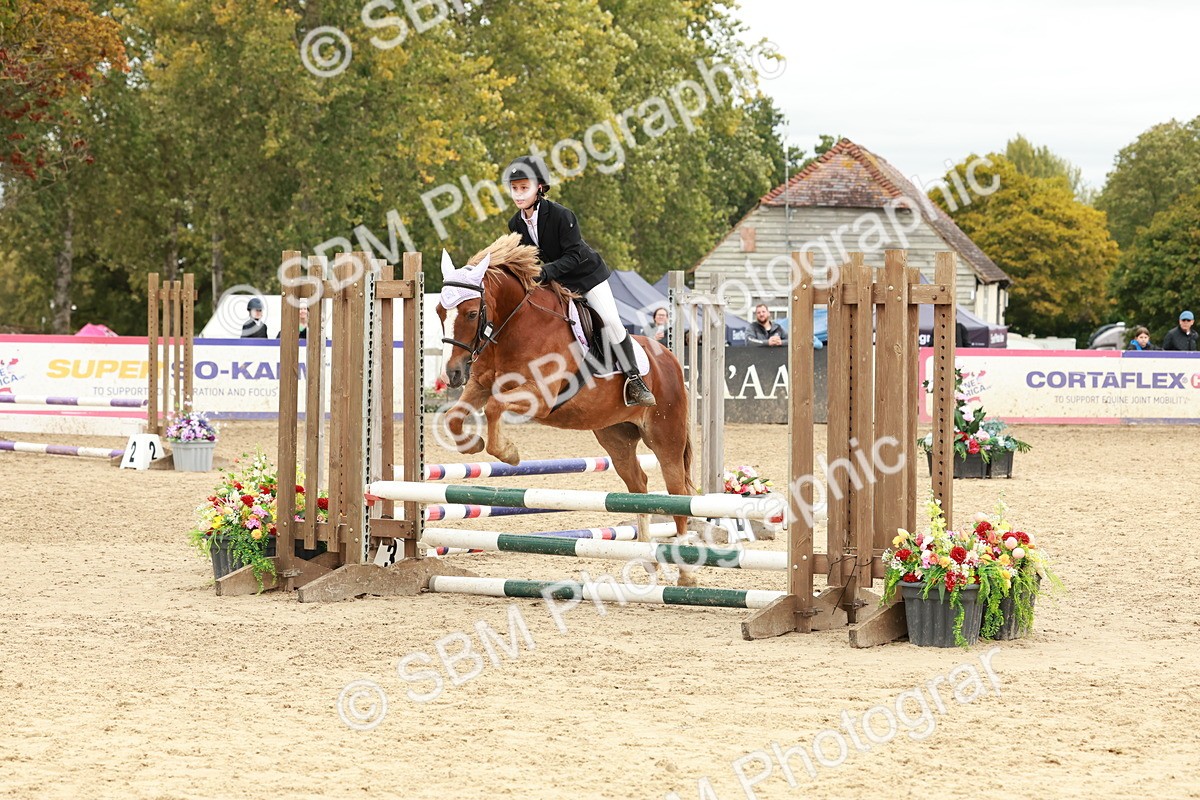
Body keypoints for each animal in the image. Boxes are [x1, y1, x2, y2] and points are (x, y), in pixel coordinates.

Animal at [435, 233, 696, 566]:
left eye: (470, 313)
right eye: (439, 312)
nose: (453, 373)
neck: (515, 324)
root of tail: (670, 357)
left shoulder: (539, 396)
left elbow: (494, 407)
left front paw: (509, 454)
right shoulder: (479, 386)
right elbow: (454, 417)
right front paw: (474, 445)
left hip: (665, 437)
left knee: (678, 494)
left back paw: (684, 562)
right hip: (616, 436)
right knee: (638, 485)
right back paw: (643, 555)